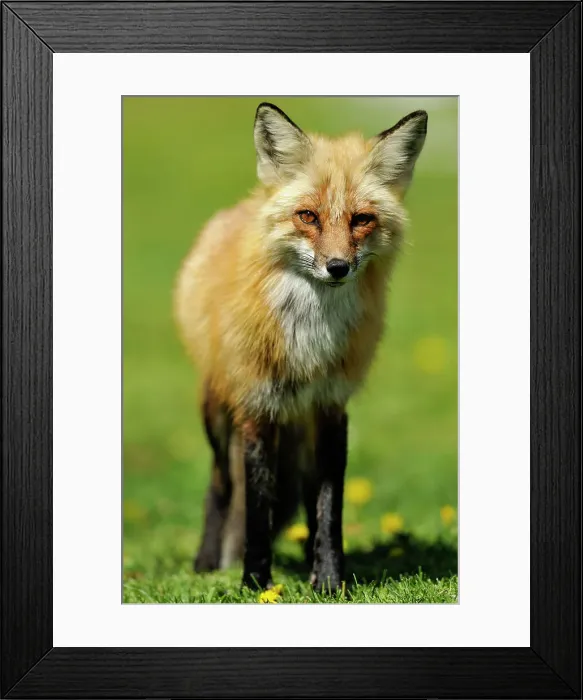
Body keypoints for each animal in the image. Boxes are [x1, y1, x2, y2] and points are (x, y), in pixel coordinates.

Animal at [174, 102, 427, 591]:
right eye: (308, 216)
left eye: (362, 220)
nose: (338, 267)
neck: (309, 340)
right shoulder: (256, 407)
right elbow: (256, 507)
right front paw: (255, 583)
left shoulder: (329, 407)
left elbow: (329, 504)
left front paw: (329, 580)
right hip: (217, 413)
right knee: (221, 484)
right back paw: (206, 563)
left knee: (307, 497)